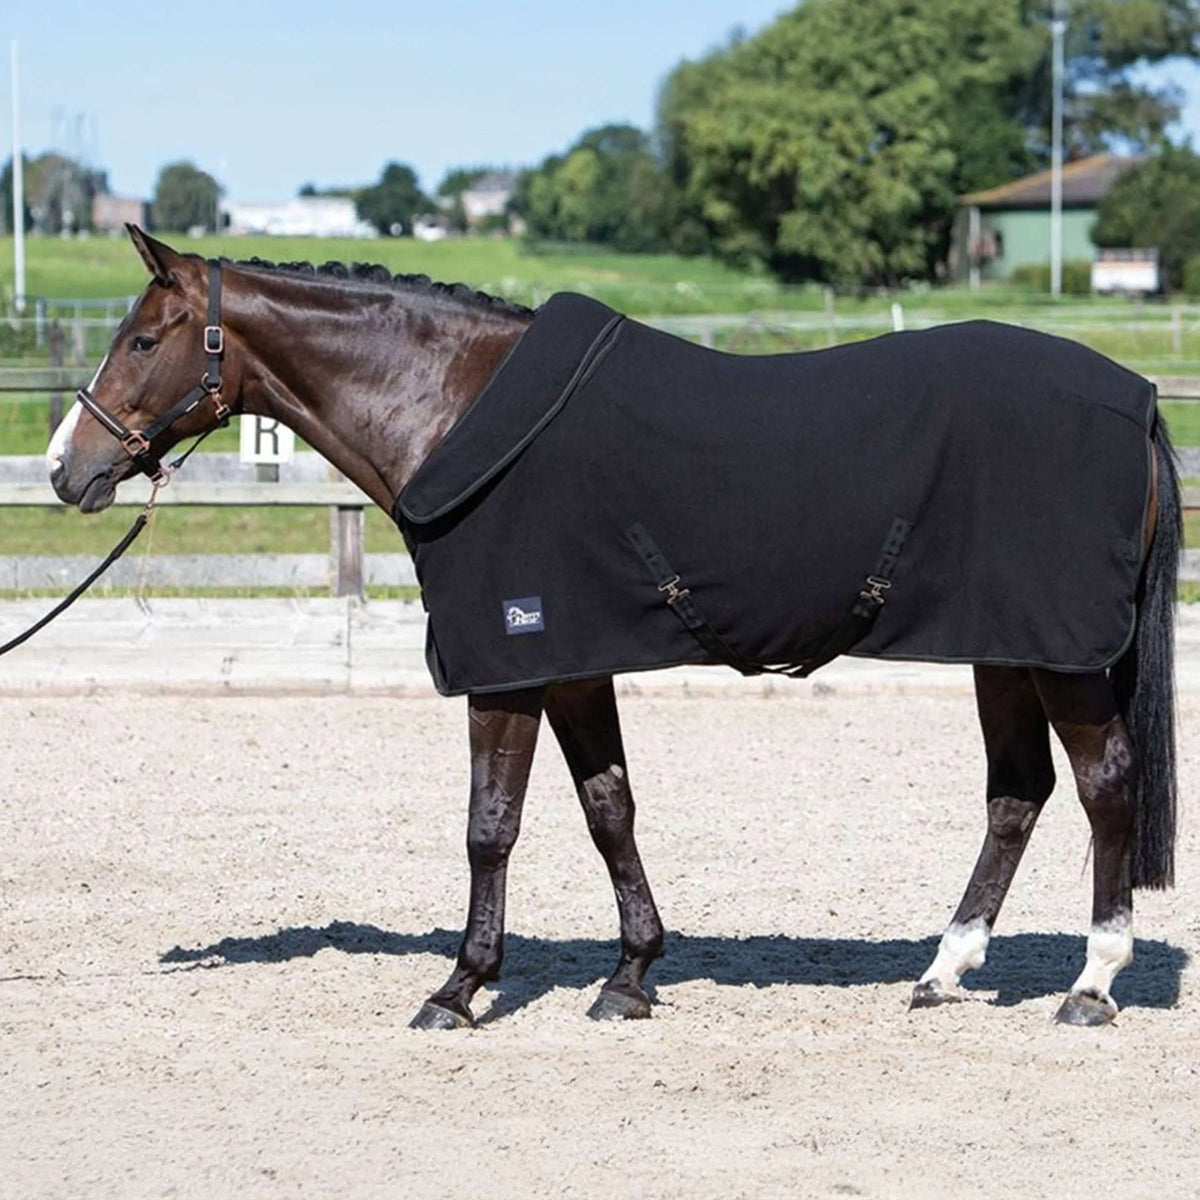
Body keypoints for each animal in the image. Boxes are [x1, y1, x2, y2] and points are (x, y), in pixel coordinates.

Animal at [46, 227, 1179, 1030]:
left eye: (142, 339)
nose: (65, 468)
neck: (456, 408)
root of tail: (1136, 399)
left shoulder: (509, 666)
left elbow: (490, 826)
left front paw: (459, 987)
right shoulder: (574, 663)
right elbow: (609, 811)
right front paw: (630, 975)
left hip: (1060, 658)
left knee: (1105, 783)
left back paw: (1092, 983)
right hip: (1008, 648)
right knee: (1018, 794)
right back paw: (944, 970)